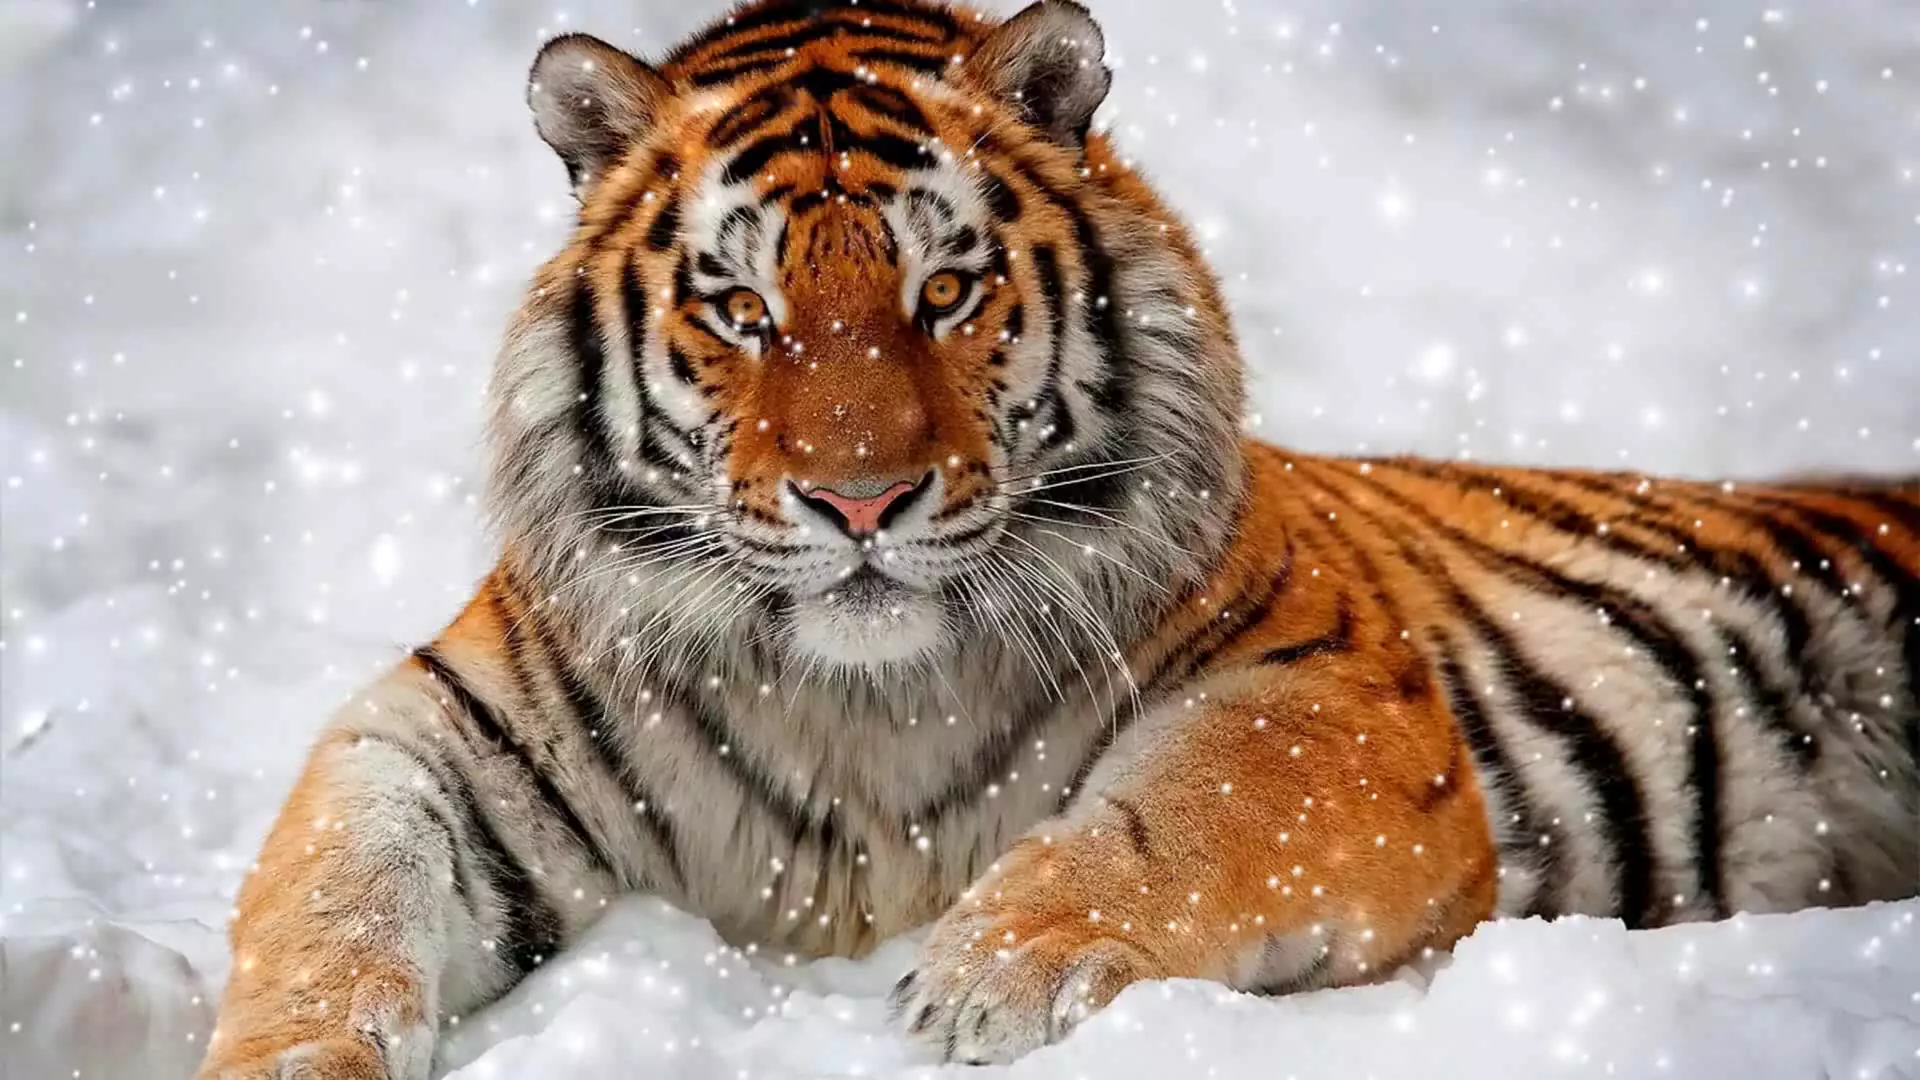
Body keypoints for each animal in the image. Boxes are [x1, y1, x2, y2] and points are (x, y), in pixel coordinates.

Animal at [194, 1, 1920, 1075]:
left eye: (945, 291)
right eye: (742, 310)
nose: (860, 501)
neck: (858, 701)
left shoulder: (1339, 700)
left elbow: (1167, 821)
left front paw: (985, 978)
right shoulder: (437, 733)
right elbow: (331, 905)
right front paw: (290, 1062)